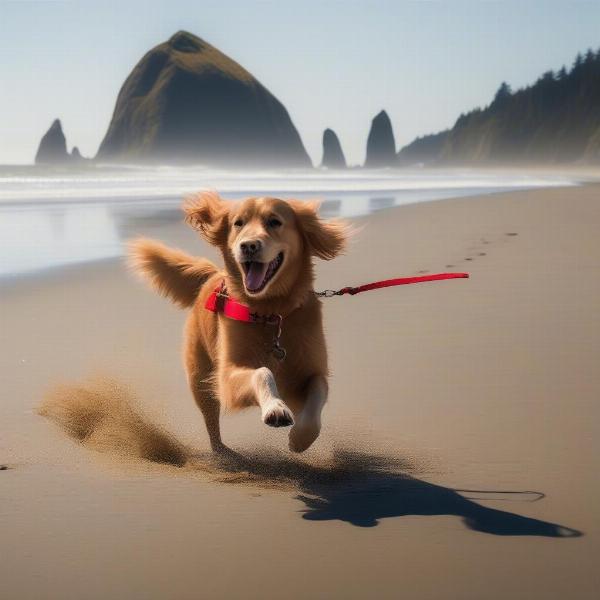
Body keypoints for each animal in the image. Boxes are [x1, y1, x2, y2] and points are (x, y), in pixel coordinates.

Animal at [129, 195, 350, 452]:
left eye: (274, 221)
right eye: (238, 223)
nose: (248, 246)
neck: (270, 312)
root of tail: (211, 274)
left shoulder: (309, 372)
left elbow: (318, 391)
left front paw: (300, 437)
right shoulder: (228, 377)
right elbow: (262, 372)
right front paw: (275, 408)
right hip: (200, 378)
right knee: (210, 417)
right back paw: (220, 452)